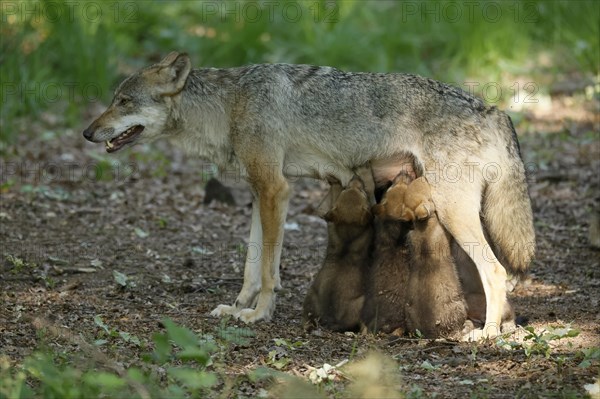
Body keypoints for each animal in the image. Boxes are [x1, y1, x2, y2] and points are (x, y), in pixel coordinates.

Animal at [304, 167, 376, 332]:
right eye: (362, 191)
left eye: (346, 188)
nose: (354, 178)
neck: (347, 231)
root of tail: (330, 318)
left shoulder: (330, 220)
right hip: (362, 302)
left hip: (311, 295)